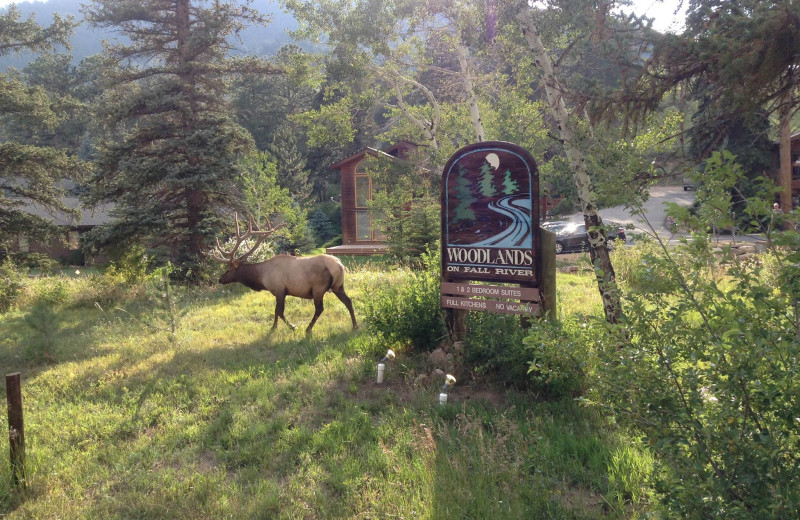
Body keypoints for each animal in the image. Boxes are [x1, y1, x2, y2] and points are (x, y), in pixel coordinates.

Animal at [211, 214, 358, 334]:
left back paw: (308, 329)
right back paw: (355, 325)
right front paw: (273, 327)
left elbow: (279, 311)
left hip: (319, 288)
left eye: (229, 269)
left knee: (320, 308)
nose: (220, 279)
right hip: (338, 286)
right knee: (348, 301)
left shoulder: (280, 289)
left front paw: (292, 327)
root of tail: (339, 266)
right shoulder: (279, 291)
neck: (262, 278)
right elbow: (276, 310)